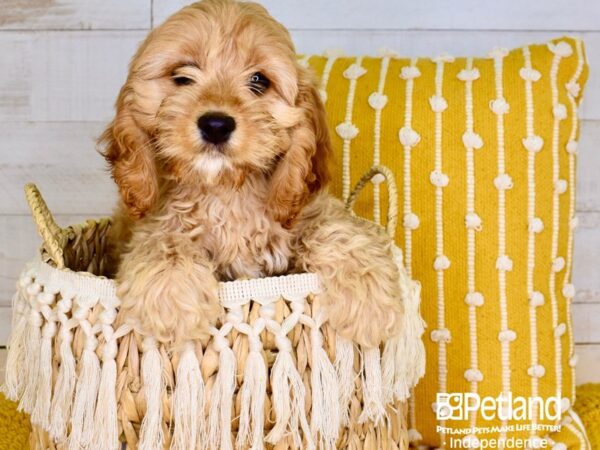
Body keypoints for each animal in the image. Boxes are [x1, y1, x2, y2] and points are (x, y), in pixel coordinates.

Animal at [102, 0, 404, 348]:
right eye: (182, 76)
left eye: (259, 80)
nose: (216, 125)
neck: (227, 188)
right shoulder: (152, 220)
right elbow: (165, 239)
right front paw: (171, 301)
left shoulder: (303, 209)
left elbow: (337, 228)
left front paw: (369, 300)